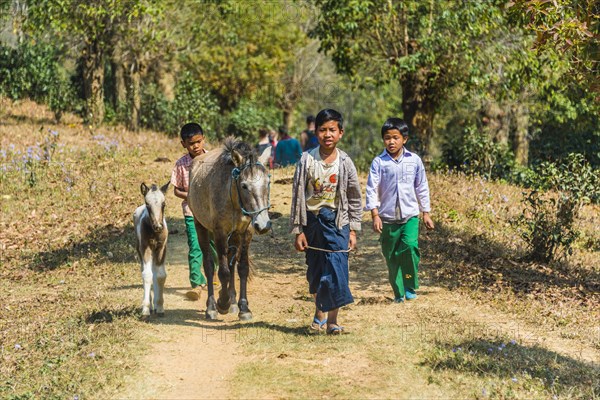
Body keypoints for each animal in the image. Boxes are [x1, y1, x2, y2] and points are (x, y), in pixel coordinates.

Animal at [132, 183, 168, 320]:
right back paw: (151, 306)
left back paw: (156, 306)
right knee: (146, 271)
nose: (158, 226)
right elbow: (147, 275)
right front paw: (146, 310)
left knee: (155, 271)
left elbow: (161, 275)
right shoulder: (145, 247)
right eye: (148, 204)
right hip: (140, 250)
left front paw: (160, 307)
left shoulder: (161, 247)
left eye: (163, 204)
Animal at [189, 138, 270, 322]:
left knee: (232, 264)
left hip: (234, 236)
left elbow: (242, 268)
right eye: (244, 185)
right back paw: (212, 306)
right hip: (201, 227)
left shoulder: (246, 232)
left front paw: (244, 308)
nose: (263, 225)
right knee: (209, 265)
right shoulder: (220, 233)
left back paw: (233, 302)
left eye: (268, 183)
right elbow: (223, 272)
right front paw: (222, 303)